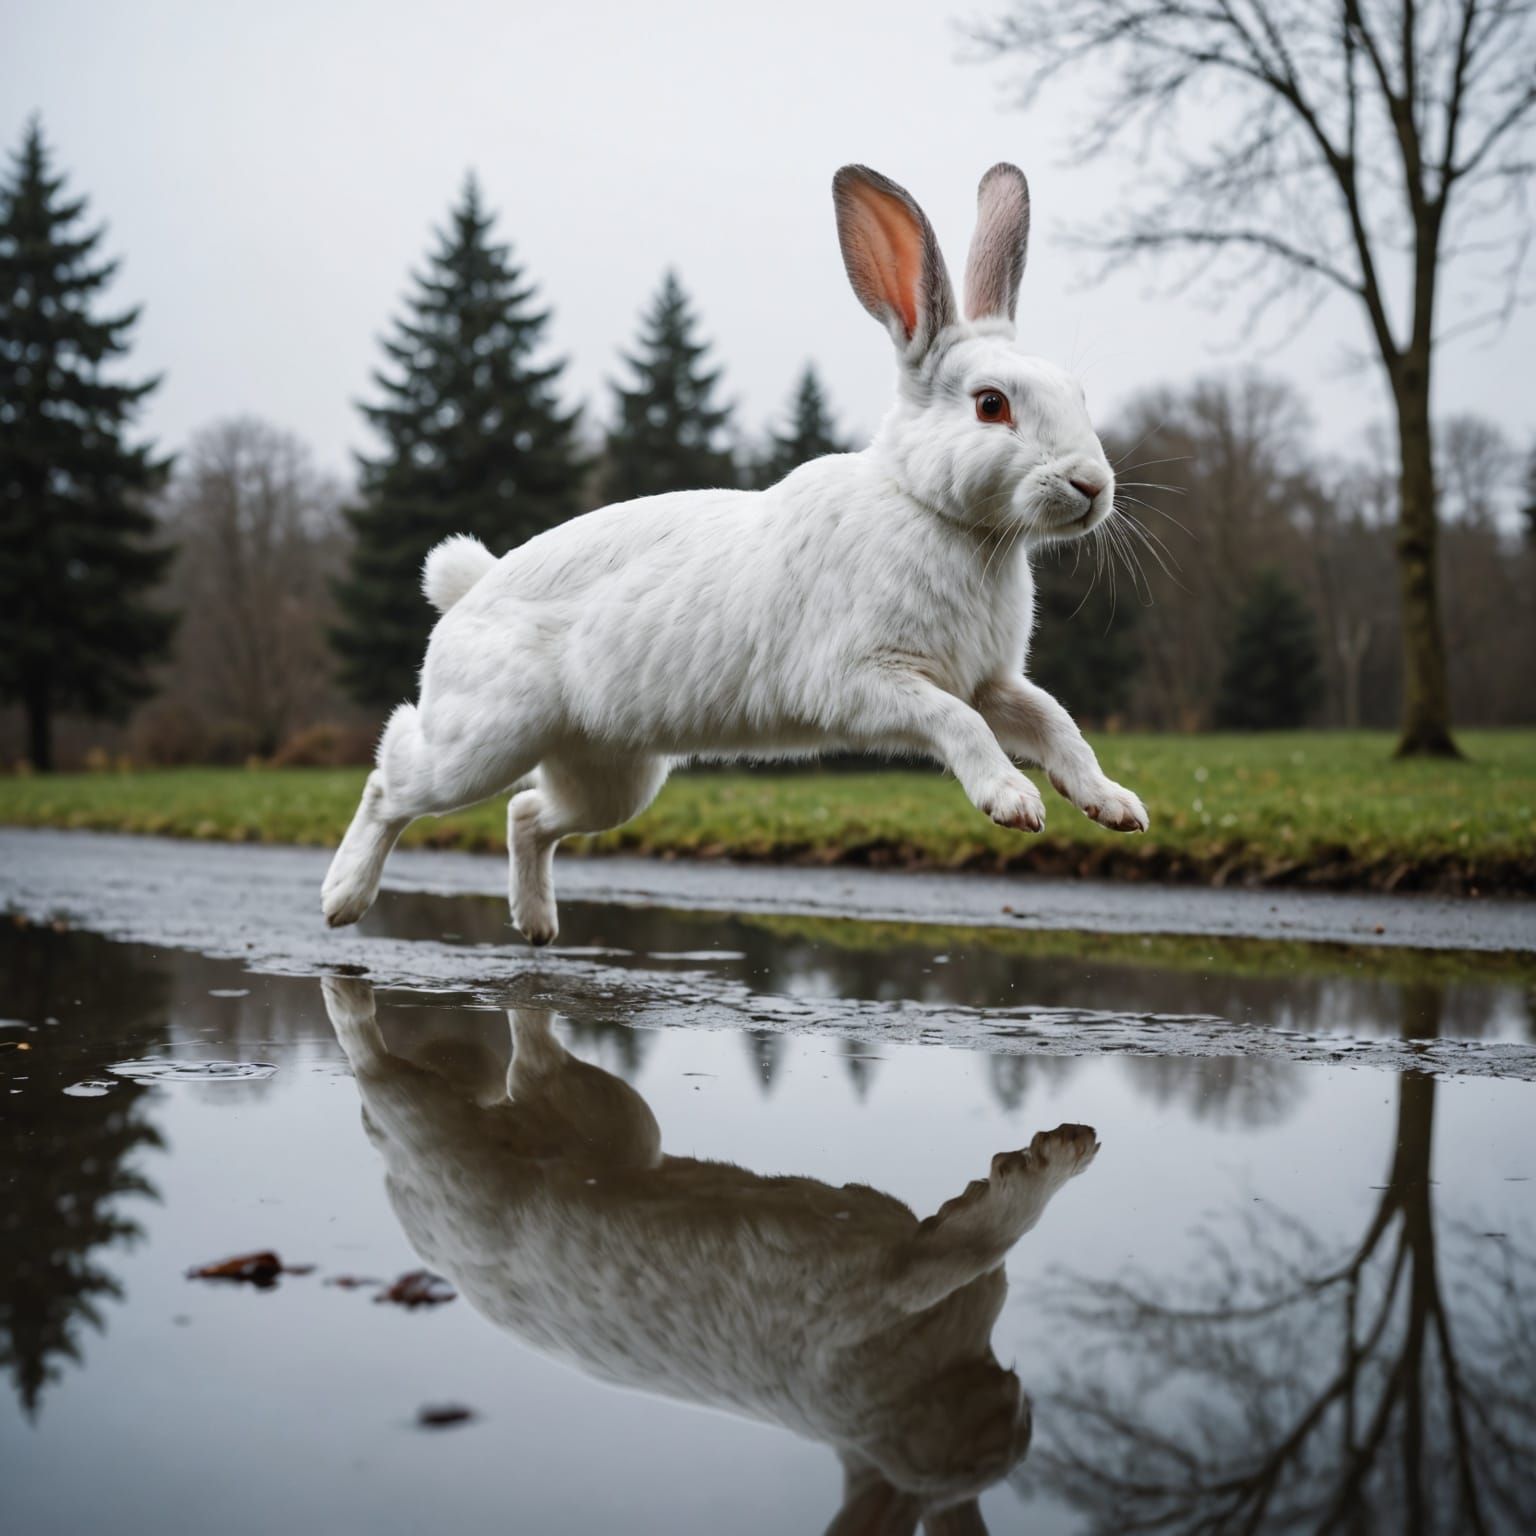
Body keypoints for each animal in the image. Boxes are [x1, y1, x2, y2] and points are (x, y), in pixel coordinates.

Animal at [321, 162, 1147, 945]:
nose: (1092, 485)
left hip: (611, 775)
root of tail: (471, 589)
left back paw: (537, 928)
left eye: (1076, 393)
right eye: (990, 405)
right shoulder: (869, 679)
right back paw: (342, 900)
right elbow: (961, 727)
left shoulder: (989, 681)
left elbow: (1056, 725)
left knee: (526, 816)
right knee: (391, 781)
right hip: (481, 743)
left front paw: (1117, 807)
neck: (932, 511)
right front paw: (1014, 804)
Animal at [321, 974, 1101, 1534]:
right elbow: (989, 1232)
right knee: (377, 1064)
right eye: (988, 1451)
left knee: (531, 1054)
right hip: (449, 1135)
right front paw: (1057, 1157)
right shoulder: (891, 1285)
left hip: (607, 1124)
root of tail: (399, 1190)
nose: (1020, 1415)